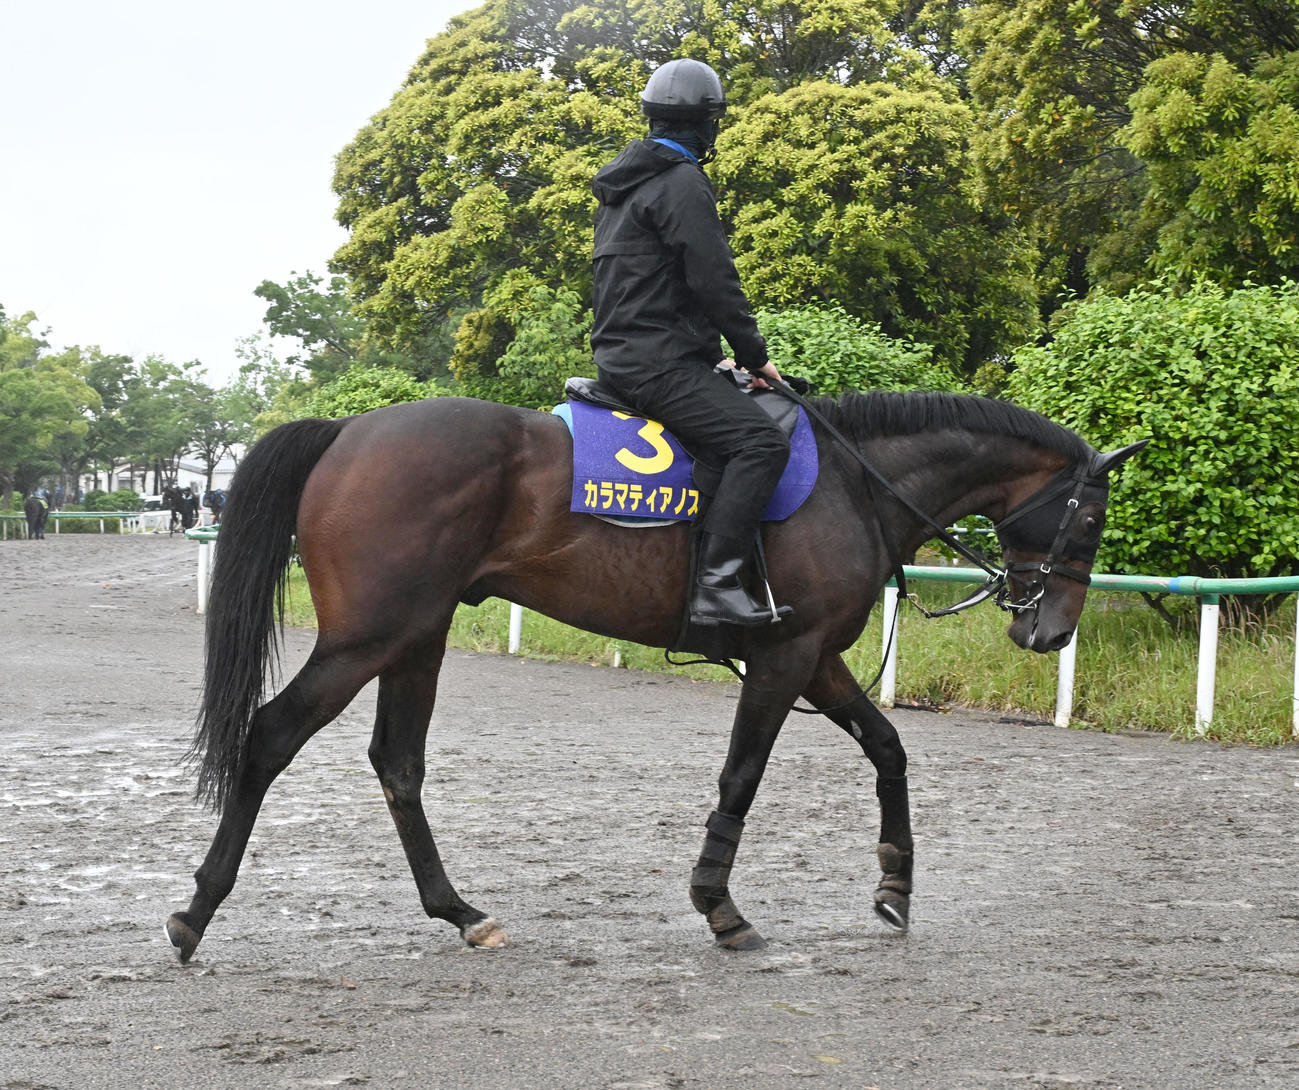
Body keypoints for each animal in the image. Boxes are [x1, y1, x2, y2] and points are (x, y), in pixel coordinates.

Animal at [165, 389, 1146, 963]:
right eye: (1091, 517)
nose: (1051, 629)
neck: (854, 481)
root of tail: (349, 432)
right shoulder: (782, 657)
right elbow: (741, 778)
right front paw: (718, 905)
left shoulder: (816, 656)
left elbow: (889, 749)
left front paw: (893, 887)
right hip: (369, 636)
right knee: (270, 735)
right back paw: (196, 912)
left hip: (416, 636)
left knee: (397, 763)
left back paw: (459, 910)